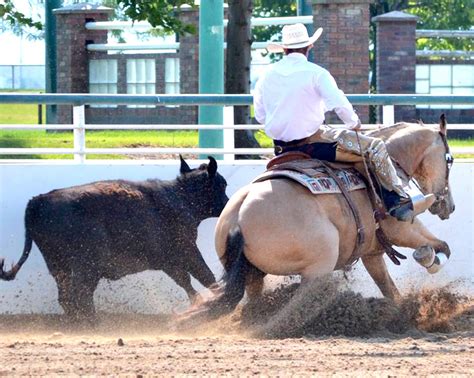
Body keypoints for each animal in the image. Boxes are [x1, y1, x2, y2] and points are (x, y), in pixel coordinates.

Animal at [193, 114, 456, 318]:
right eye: (449, 160)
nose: (449, 206)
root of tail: (238, 217)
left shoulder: (372, 254)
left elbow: (389, 289)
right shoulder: (404, 229)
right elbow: (440, 246)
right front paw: (429, 258)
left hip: (253, 274)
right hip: (318, 267)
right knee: (297, 303)